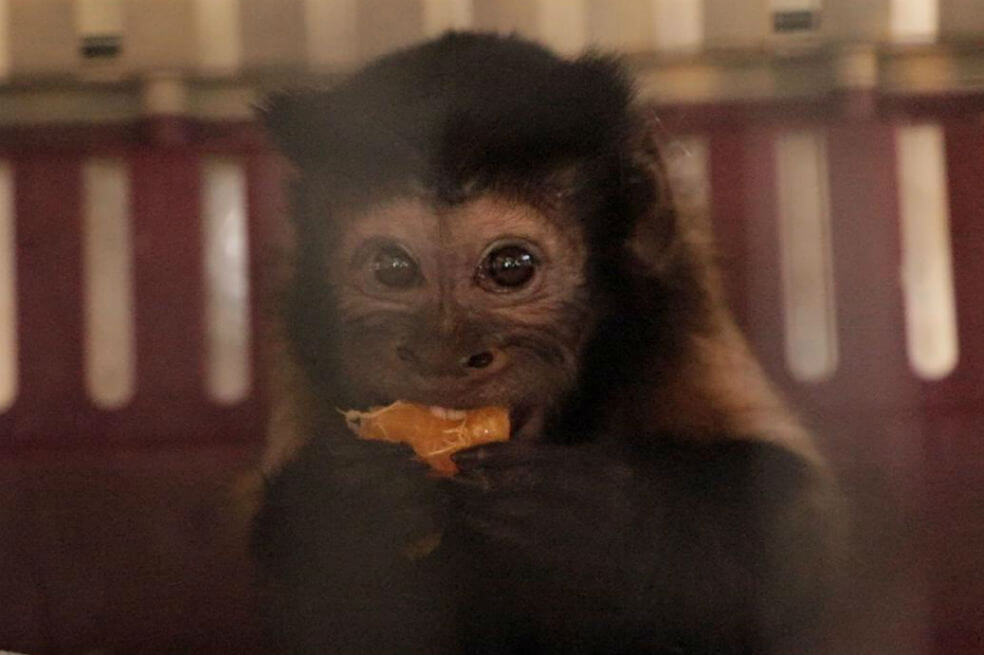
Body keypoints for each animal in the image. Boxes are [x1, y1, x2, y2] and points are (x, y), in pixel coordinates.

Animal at [251, 31, 843, 655]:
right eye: (392, 268)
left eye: (511, 266)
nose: (441, 353)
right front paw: (346, 513)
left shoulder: (680, 305)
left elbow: (797, 528)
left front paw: (610, 525)